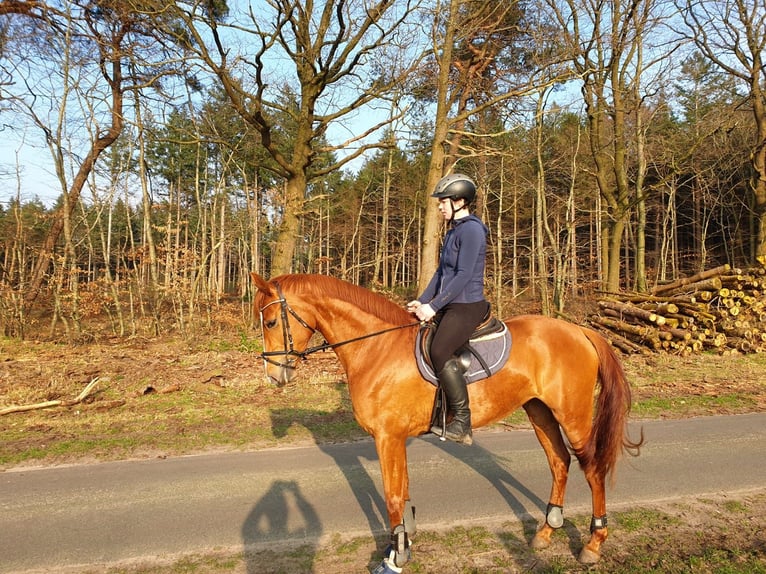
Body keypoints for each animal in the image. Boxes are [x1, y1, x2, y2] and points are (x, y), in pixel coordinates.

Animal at [252, 272, 640, 572]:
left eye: (270, 322)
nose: (274, 376)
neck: (378, 348)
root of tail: (579, 331)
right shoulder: (395, 438)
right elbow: (403, 489)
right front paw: (403, 542)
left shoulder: (387, 437)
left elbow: (392, 496)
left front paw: (396, 555)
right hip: (539, 411)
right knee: (559, 462)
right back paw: (546, 532)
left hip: (573, 415)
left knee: (592, 469)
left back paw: (593, 543)